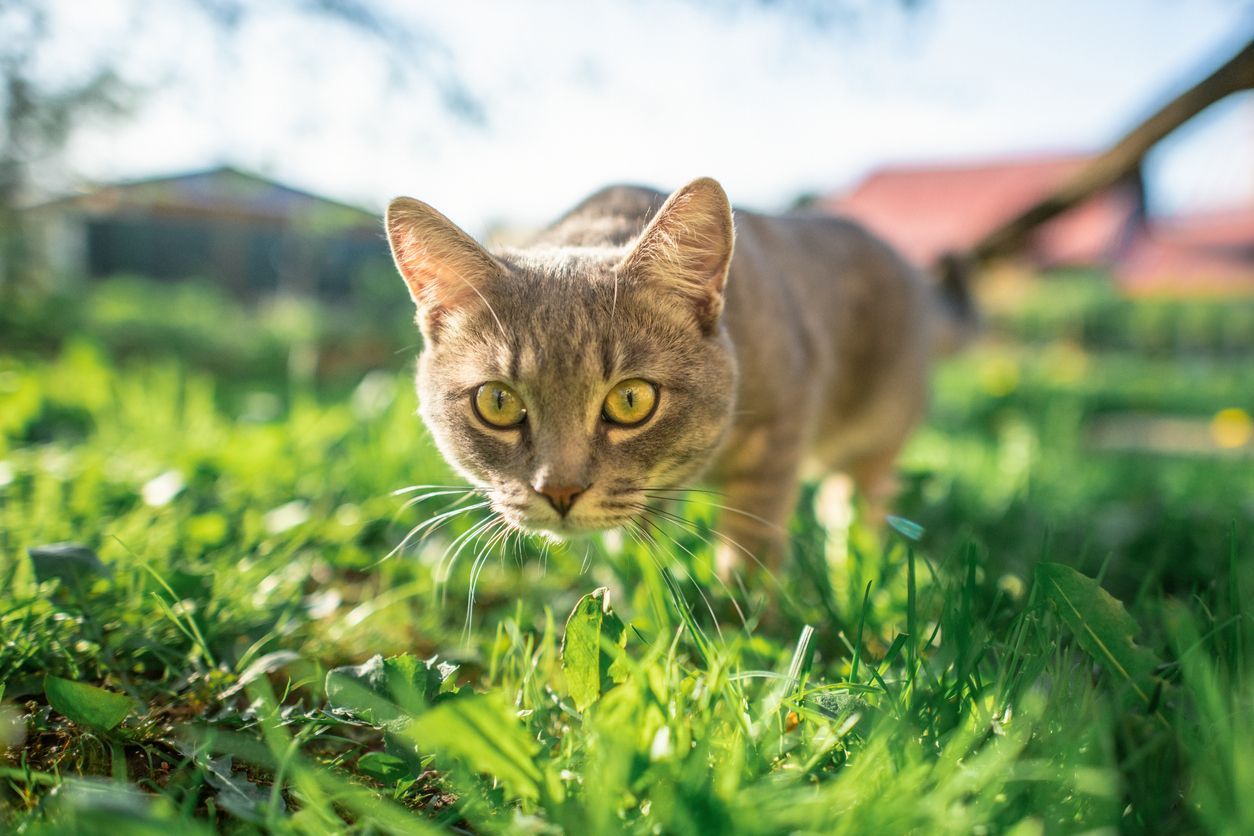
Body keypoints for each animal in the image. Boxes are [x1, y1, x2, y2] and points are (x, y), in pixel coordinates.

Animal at [386, 177, 973, 576]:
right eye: (498, 403)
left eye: (630, 400)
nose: (561, 491)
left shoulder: (783, 421)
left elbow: (752, 534)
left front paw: (743, 623)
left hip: (876, 426)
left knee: (863, 490)